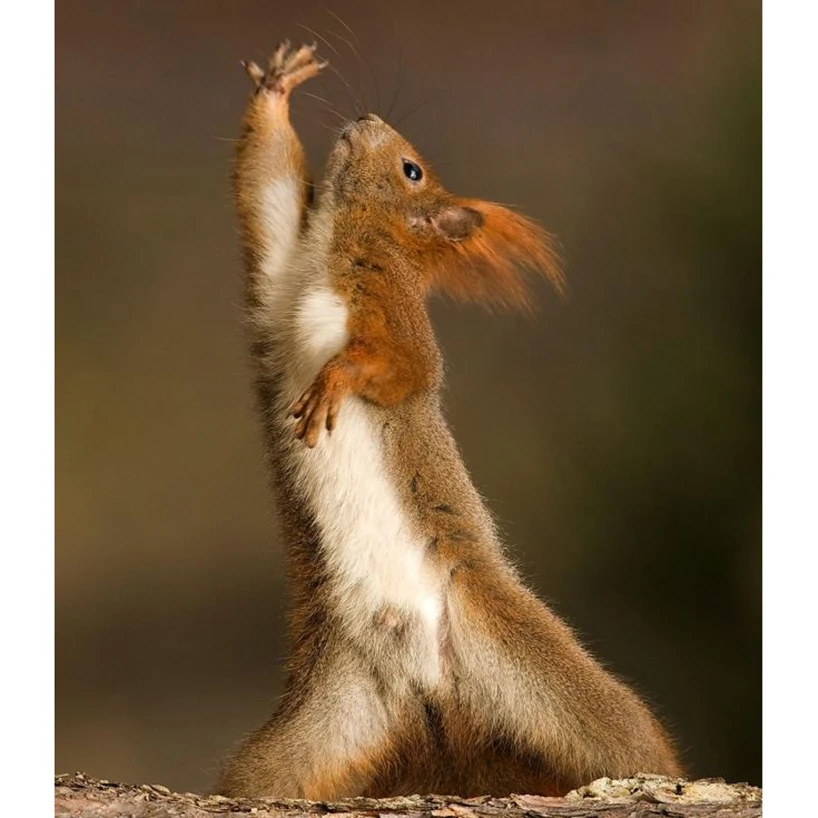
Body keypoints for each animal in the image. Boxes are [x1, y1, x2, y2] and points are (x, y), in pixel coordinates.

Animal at [218, 42, 682, 800]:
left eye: (411, 170)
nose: (366, 118)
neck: (336, 246)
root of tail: (430, 686)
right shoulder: (279, 268)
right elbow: (266, 191)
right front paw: (277, 90)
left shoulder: (393, 315)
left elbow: (400, 367)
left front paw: (335, 382)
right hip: (315, 728)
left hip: (553, 681)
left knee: (628, 745)